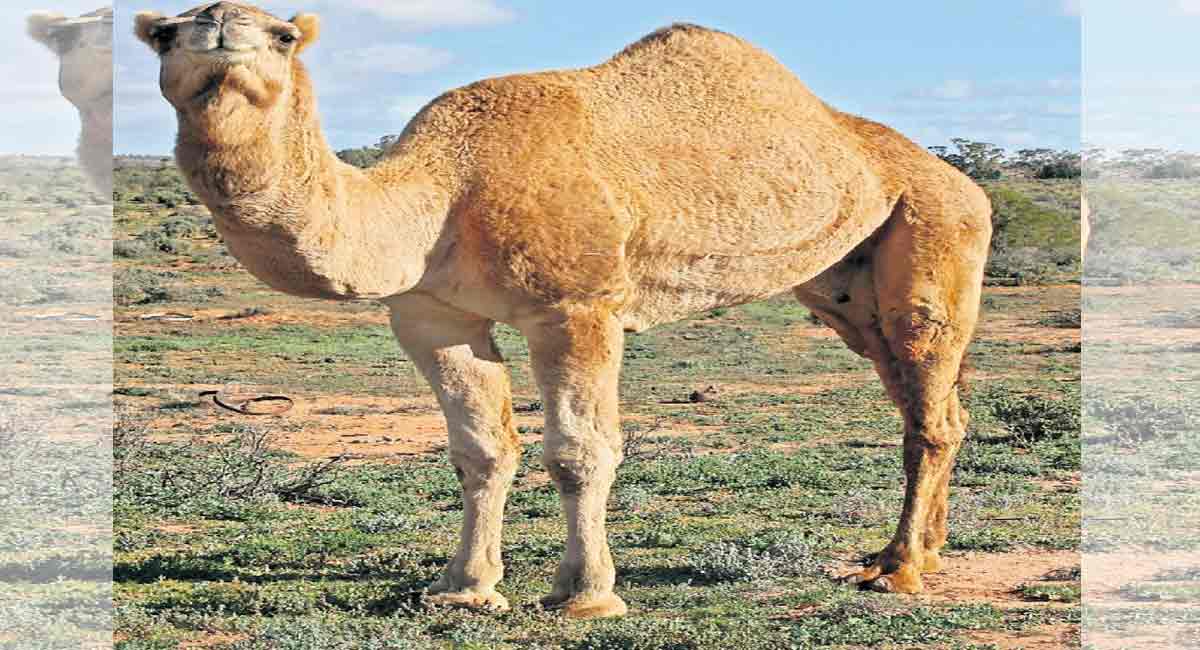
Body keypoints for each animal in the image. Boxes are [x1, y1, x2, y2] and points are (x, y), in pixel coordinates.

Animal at [135, 2, 993, 618]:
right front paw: (464, 589)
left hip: (937, 225)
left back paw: (901, 572)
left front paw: (584, 594)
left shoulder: (577, 306)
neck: (443, 191)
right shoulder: (431, 317)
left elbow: (580, 451)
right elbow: (481, 450)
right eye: (166, 33)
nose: (219, 29)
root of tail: (961, 180)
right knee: (926, 396)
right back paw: (915, 551)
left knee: (928, 397)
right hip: (843, 283)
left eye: (282, 35)